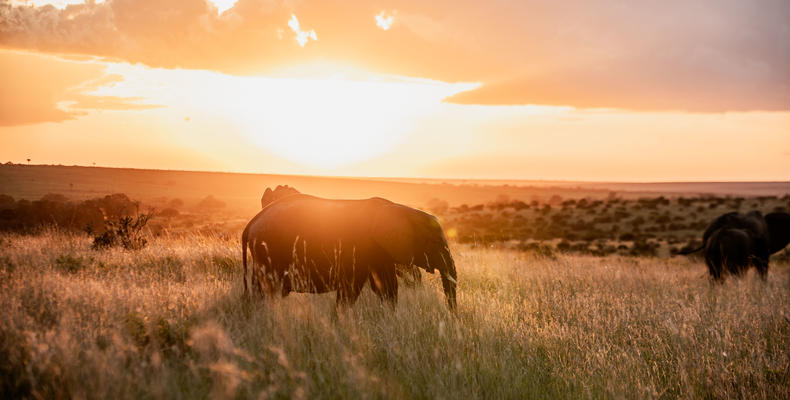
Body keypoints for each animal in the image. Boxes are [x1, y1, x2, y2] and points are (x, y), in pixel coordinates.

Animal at [241, 188, 457, 310]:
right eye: (434, 243)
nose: (452, 316)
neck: (398, 209)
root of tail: (250, 225)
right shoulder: (362, 248)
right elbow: (353, 288)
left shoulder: (380, 252)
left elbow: (385, 288)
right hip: (268, 251)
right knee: (267, 289)